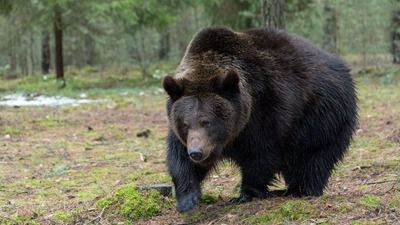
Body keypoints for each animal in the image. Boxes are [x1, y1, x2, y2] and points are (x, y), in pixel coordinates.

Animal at [161, 27, 358, 212]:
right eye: (185, 124)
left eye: (207, 121)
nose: (196, 152)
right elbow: (180, 159)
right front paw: (187, 198)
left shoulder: (265, 112)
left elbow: (261, 155)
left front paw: (245, 194)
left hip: (323, 116)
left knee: (314, 157)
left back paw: (300, 189)